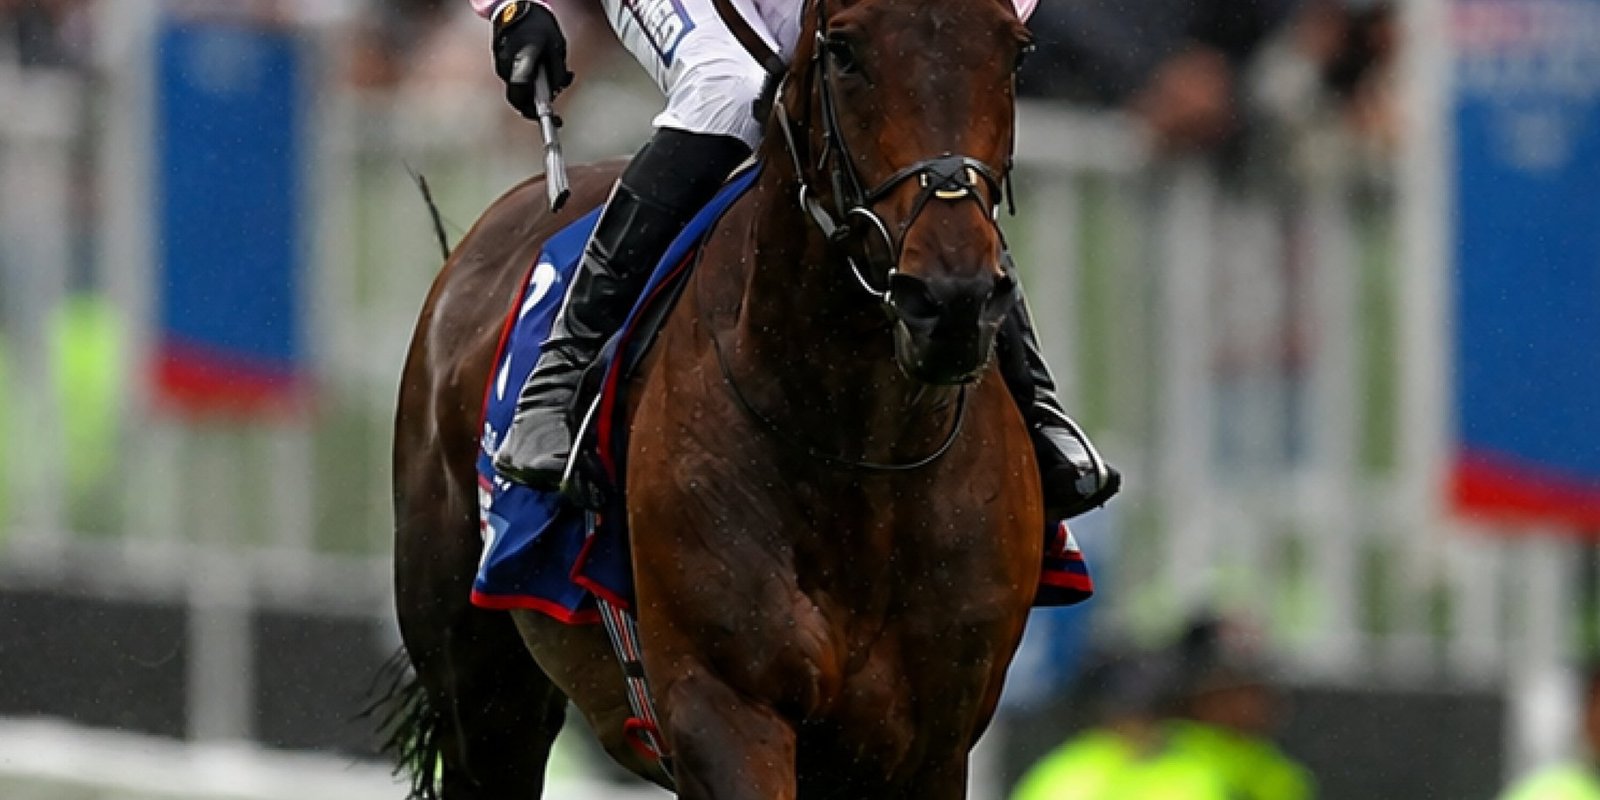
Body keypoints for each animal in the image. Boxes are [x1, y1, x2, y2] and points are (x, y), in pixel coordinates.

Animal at [389, 0, 1044, 796]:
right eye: (844, 52)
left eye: (1014, 54)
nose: (951, 301)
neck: (857, 453)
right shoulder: (722, 707)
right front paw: (528, 30)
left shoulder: (933, 745)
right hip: (481, 688)